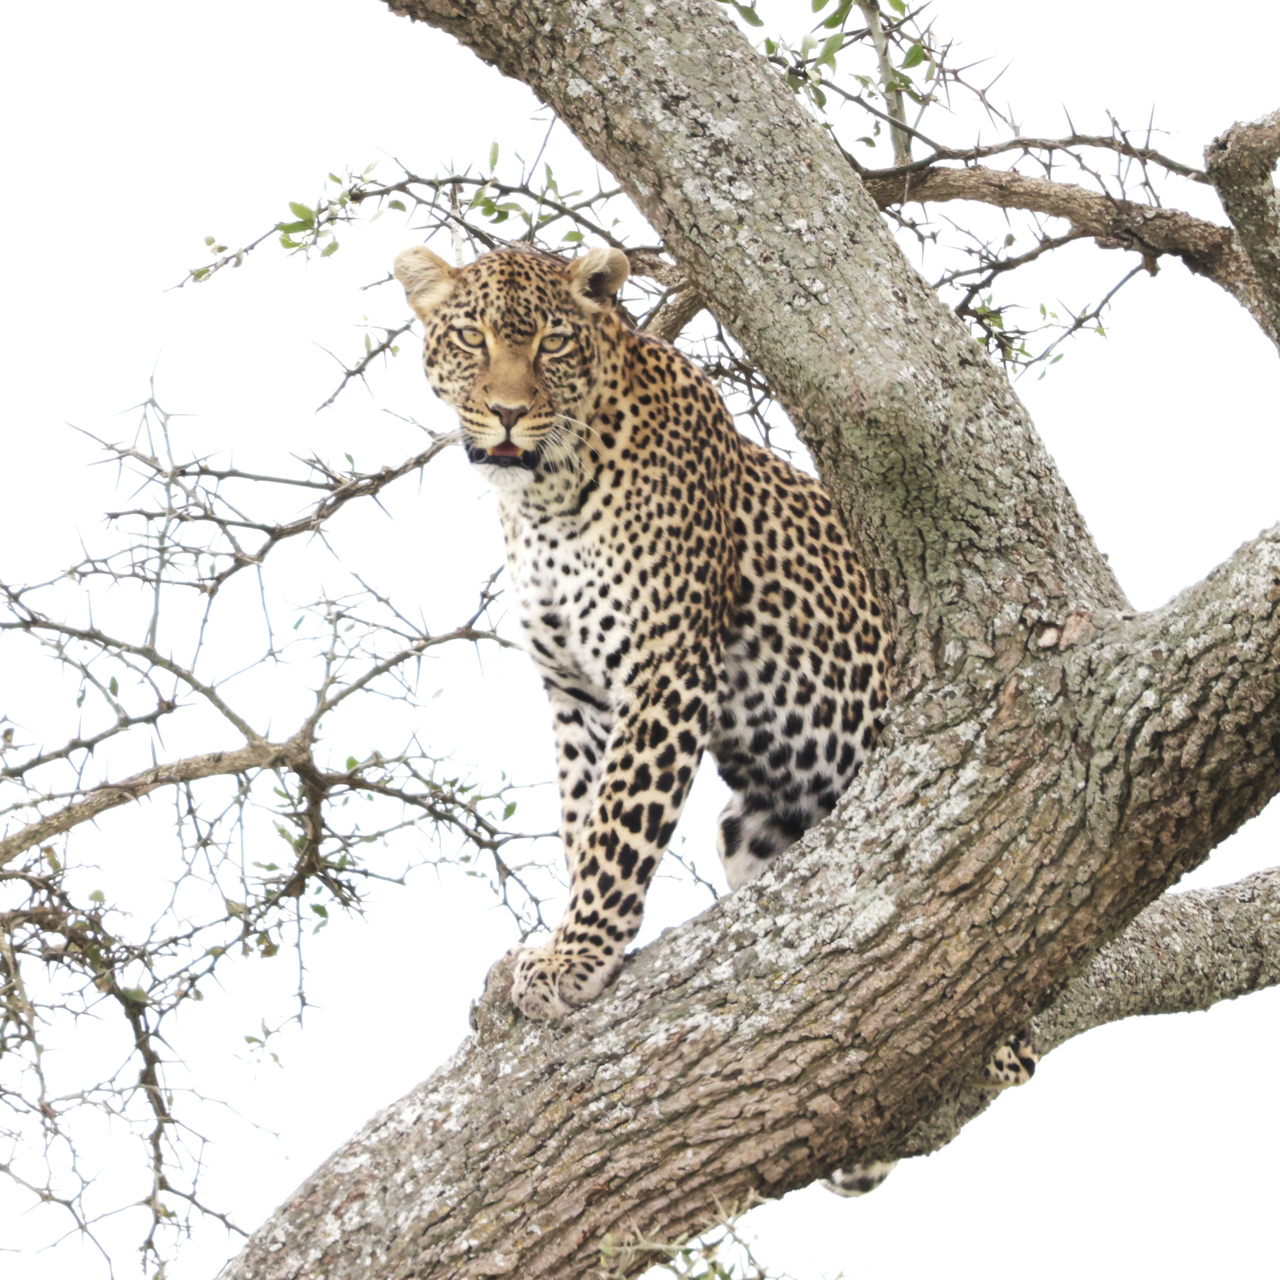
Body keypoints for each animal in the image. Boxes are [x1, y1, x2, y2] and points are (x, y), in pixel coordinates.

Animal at [394, 243, 1036, 1188]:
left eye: (552, 342)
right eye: (472, 338)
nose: (508, 413)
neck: (543, 498)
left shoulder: (665, 666)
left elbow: (620, 827)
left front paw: (577, 958)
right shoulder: (576, 693)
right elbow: (584, 822)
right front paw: (577, 943)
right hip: (754, 827)